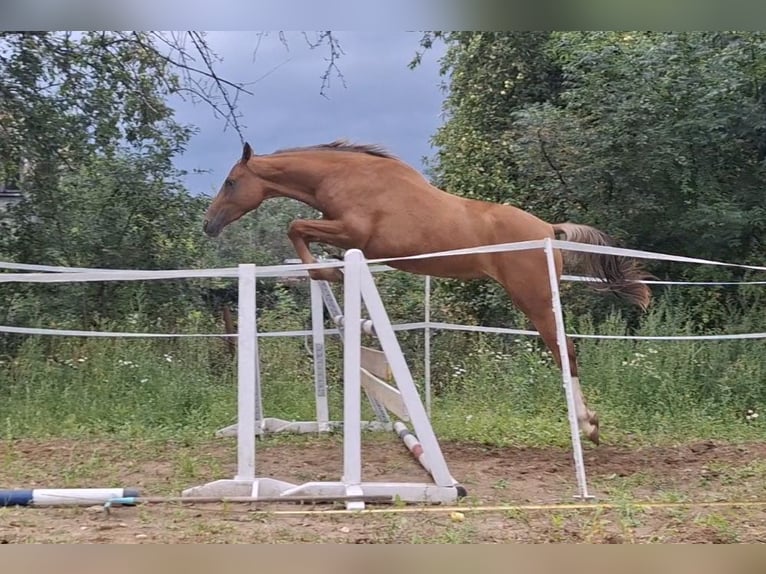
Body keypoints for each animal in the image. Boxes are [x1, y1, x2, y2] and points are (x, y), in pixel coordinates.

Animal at [202, 140, 653, 445]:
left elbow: (295, 227)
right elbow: (301, 229)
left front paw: (326, 271)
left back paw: (587, 425)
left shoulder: (353, 231)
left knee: (566, 353)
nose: (208, 225)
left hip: (536, 300)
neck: (343, 177)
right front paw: (328, 270)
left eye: (231, 181)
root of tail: (547, 229)